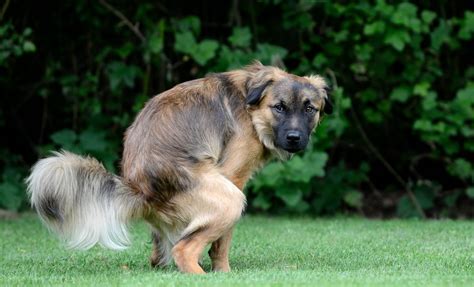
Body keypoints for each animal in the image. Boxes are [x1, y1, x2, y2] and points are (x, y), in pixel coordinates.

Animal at [26, 62, 334, 274]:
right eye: (279, 107)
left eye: (309, 109)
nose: (294, 138)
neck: (251, 107)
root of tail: (139, 189)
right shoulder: (233, 177)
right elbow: (222, 244)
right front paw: (224, 273)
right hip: (230, 199)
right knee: (183, 250)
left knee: (160, 255)